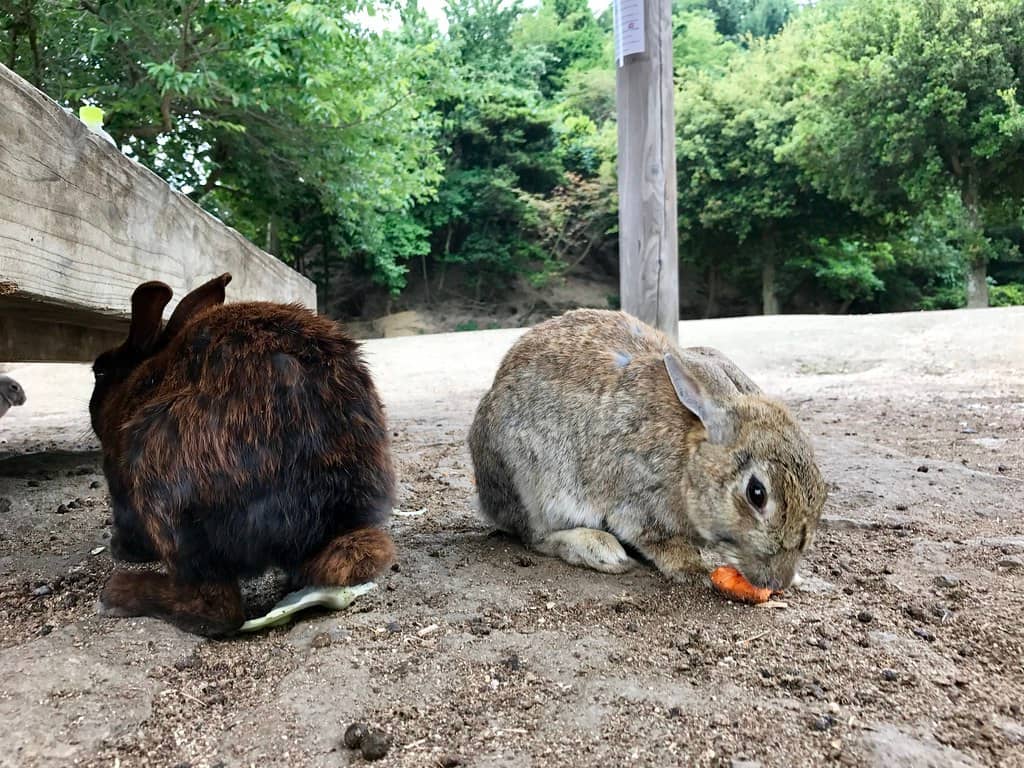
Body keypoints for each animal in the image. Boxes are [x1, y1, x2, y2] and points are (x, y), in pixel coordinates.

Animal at [468, 309, 826, 593]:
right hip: (527, 480)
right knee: (535, 536)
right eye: (756, 494)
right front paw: (693, 569)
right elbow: (659, 540)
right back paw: (601, 550)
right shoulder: (638, 502)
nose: (778, 580)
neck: (689, 462)